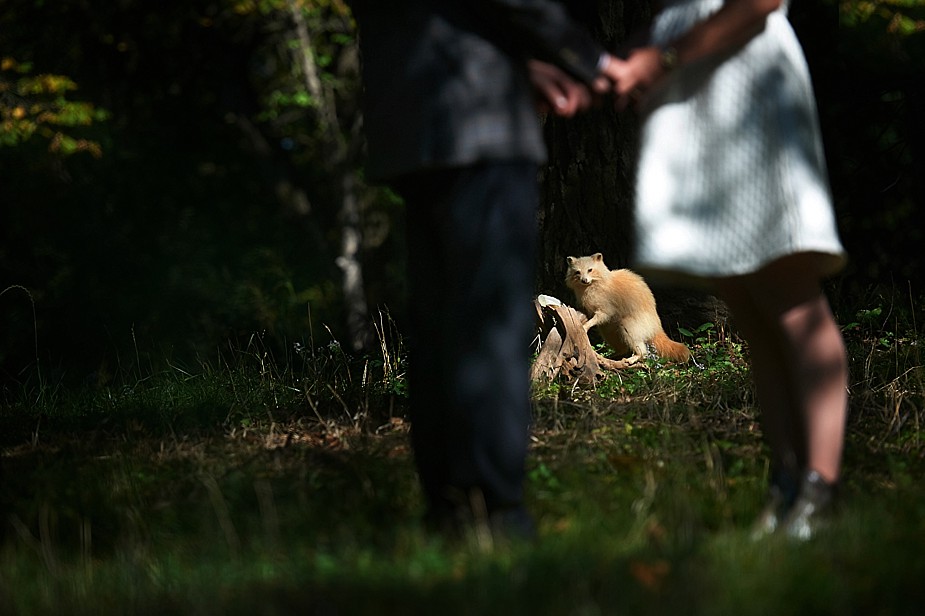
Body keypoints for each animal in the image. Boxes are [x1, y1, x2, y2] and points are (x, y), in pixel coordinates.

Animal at [560, 251, 688, 364]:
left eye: (590, 270)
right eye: (577, 272)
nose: (584, 280)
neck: (590, 286)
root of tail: (656, 326)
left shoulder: (607, 304)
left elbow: (601, 315)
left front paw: (587, 325)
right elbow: (587, 312)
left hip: (632, 323)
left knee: (637, 342)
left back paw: (636, 356)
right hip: (610, 328)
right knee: (616, 340)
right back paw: (617, 353)